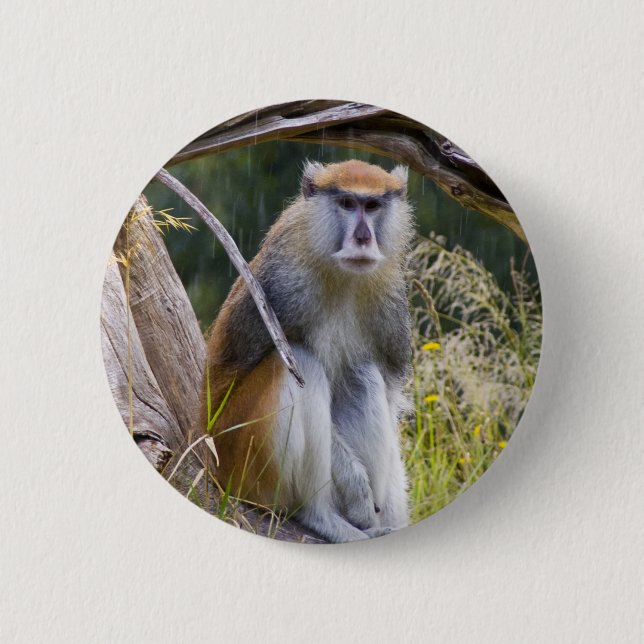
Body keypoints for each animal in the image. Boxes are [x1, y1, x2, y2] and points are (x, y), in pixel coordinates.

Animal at [201, 159, 414, 542]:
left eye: (372, 206)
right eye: (347, 203)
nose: (363, 238)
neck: (342, 275)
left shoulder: (390, 305)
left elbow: (389, 399)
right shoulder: (283, 287)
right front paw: (356, 489)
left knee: (363, 374)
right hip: (240, 460)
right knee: (300, 362)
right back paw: (322, 517)